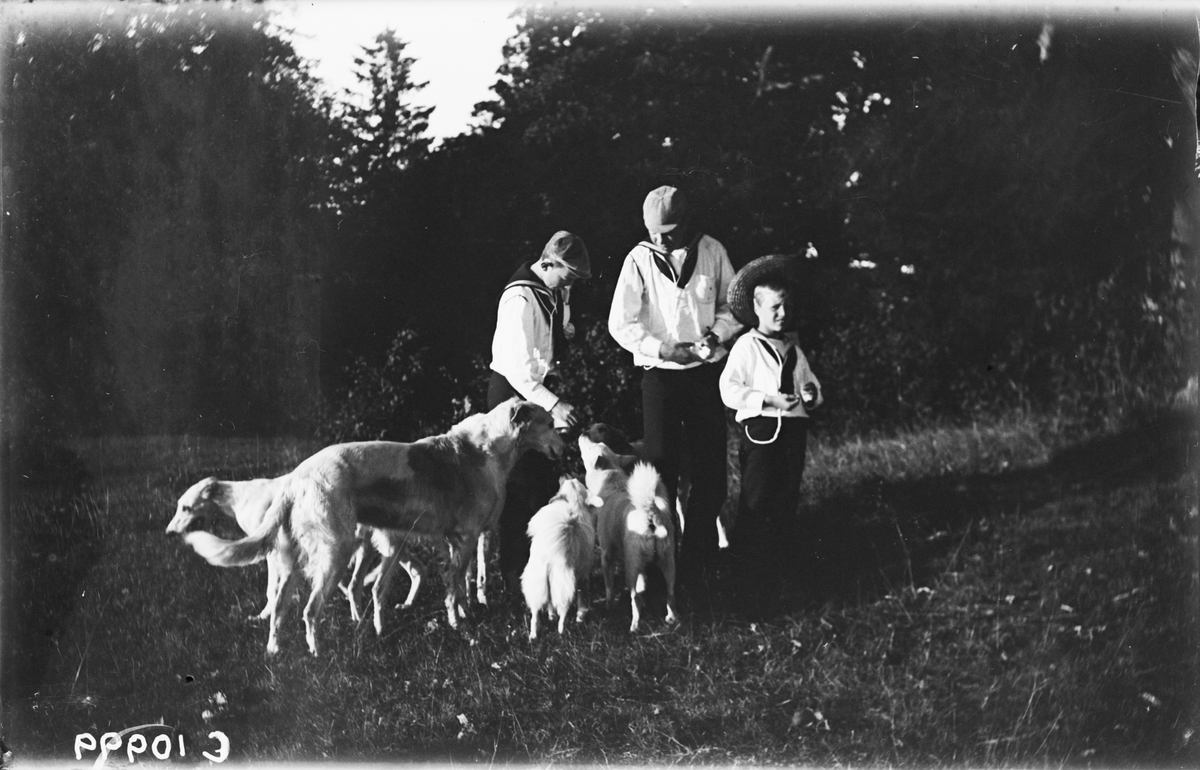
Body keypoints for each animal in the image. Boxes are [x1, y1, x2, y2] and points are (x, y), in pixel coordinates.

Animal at [177, 398, 563, 656]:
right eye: (548, 423)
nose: (564, 443)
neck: (487, 449)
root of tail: (295, 480)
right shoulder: (466, 537)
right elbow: (455, 588)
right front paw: (458, 624)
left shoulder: (459, 540)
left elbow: (463, 583)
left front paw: (467, 612)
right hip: (335, 553)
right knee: (309, 610)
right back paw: (318, 654)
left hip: (289, 562)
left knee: (279, 607)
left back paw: (275, 651)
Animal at [520, 477, 597, 640]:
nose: (568, 476)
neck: (574, 503)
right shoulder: (584, 574)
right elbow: (582, 596)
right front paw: (580, 618)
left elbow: (549, 603)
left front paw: (551, 616)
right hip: (564, 582)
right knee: (563, 611)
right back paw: (562, 633)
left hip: (538, 580)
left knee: (535, 614)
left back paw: (534, 635)